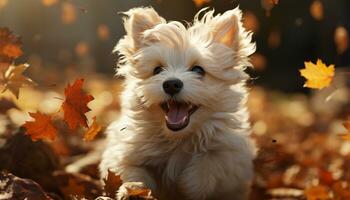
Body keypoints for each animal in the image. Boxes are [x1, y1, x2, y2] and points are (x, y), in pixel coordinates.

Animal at [99, 6, 258, 200]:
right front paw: (133, 189)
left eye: (198, 70)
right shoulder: (124, 153)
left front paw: (188, 184)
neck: (178, 139)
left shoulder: (232, 156)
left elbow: (210, 164)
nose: (171, 84)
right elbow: (132, 172)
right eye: (157, 70)